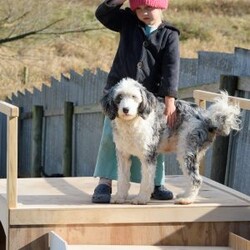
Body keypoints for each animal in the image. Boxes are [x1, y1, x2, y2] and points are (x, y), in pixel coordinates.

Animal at [100, 78, 241, 205]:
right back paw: (185, 195)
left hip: (187, 151)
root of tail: (208, 118)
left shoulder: (148, 156)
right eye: (119, 97)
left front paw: (141, 199)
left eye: (134, 97)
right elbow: (122, 178)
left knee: (196, 179)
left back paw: (187, 200)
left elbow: (146, 181)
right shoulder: (123, 155)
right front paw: (120, 197)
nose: (125, 109)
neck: (132, 122)